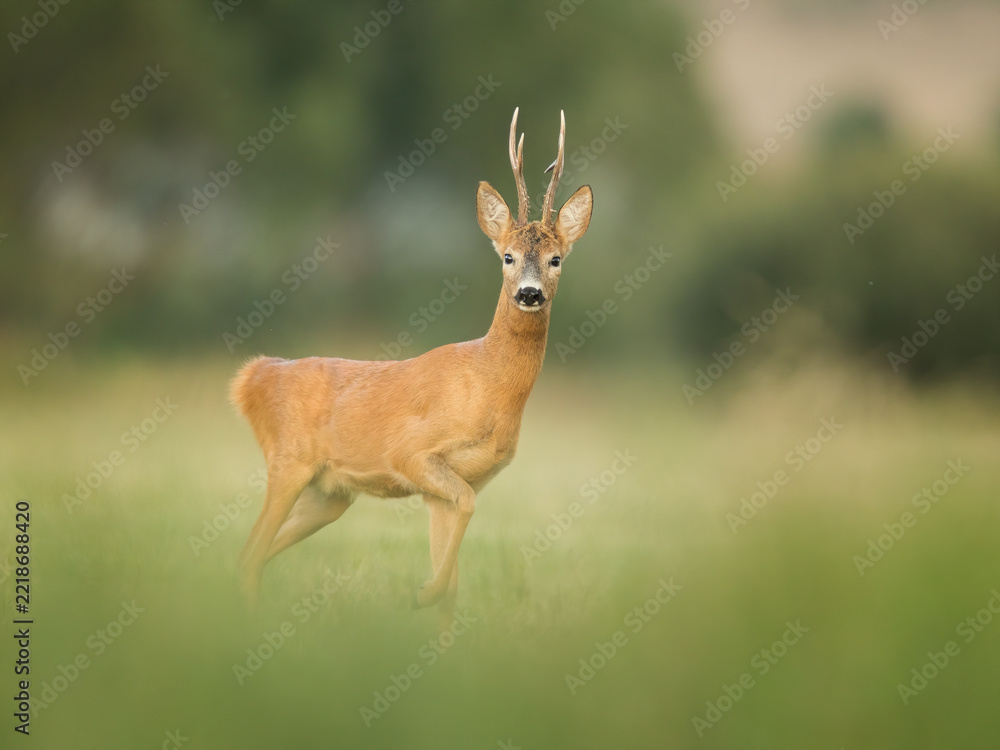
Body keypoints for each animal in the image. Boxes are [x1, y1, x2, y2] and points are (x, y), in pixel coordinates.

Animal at [230, 108, 593, 630]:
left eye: (555, 258)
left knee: (254, 555)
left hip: (330, 493)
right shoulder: (413, 454)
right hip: (287, 462)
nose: (529, 293)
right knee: (250, 551)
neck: (490, 384)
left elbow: (455, 575)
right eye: (507, 255)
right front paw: (421, 593)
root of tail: (253, 378)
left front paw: (436, 617)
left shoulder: (451, 486)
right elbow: (462, 520)